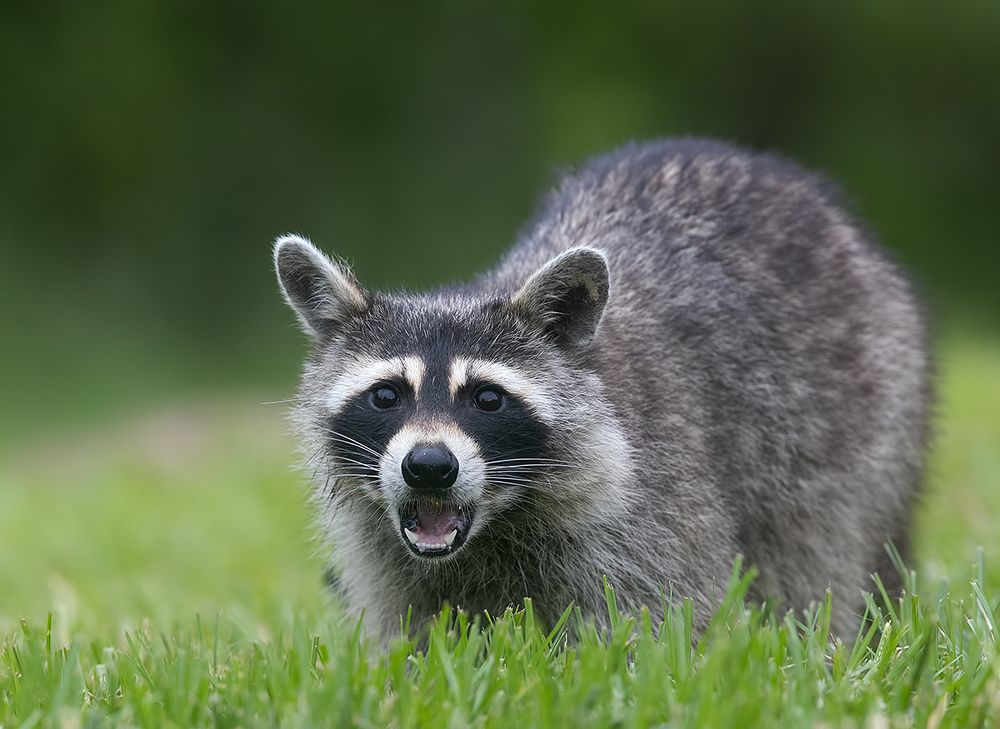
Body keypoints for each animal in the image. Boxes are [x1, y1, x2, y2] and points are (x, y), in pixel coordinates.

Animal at [273, 138, 930, 639]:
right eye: (386, 396)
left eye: (487, 398)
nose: (429, 466)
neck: (495, 527)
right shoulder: (387, 554)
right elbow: (410, 631)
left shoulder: (654, 503)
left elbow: (666, 620)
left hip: (853, 429)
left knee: (817, 562)